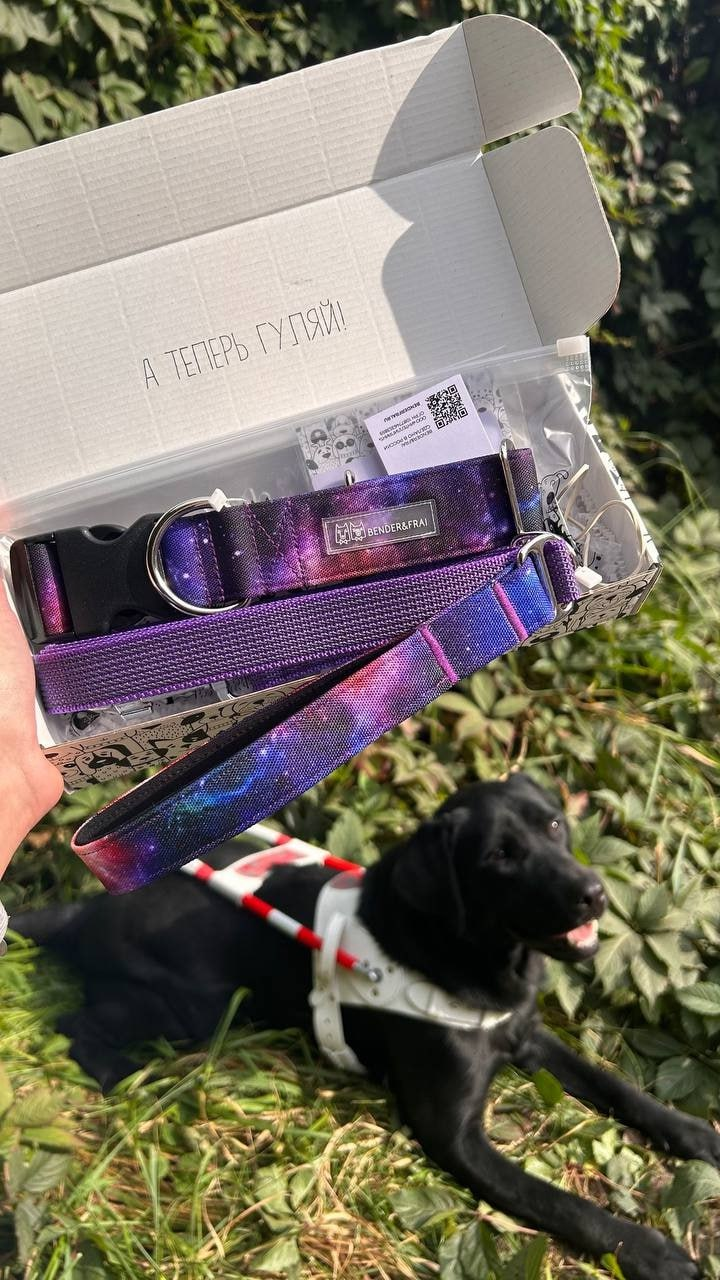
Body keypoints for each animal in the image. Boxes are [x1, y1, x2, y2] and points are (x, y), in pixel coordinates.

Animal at [13, 776, 718, 1279]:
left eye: (553, 824)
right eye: (499, 856)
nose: (593, 893)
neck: (462, 954)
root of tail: (85, 908)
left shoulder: (526, 1036)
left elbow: (616, 1086)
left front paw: (692, 1132)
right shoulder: (455, 1137)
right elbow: (562, 1204)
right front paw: (651, 1252)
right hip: (190, 1006)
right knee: (78, 1021)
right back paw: (123, 1074)